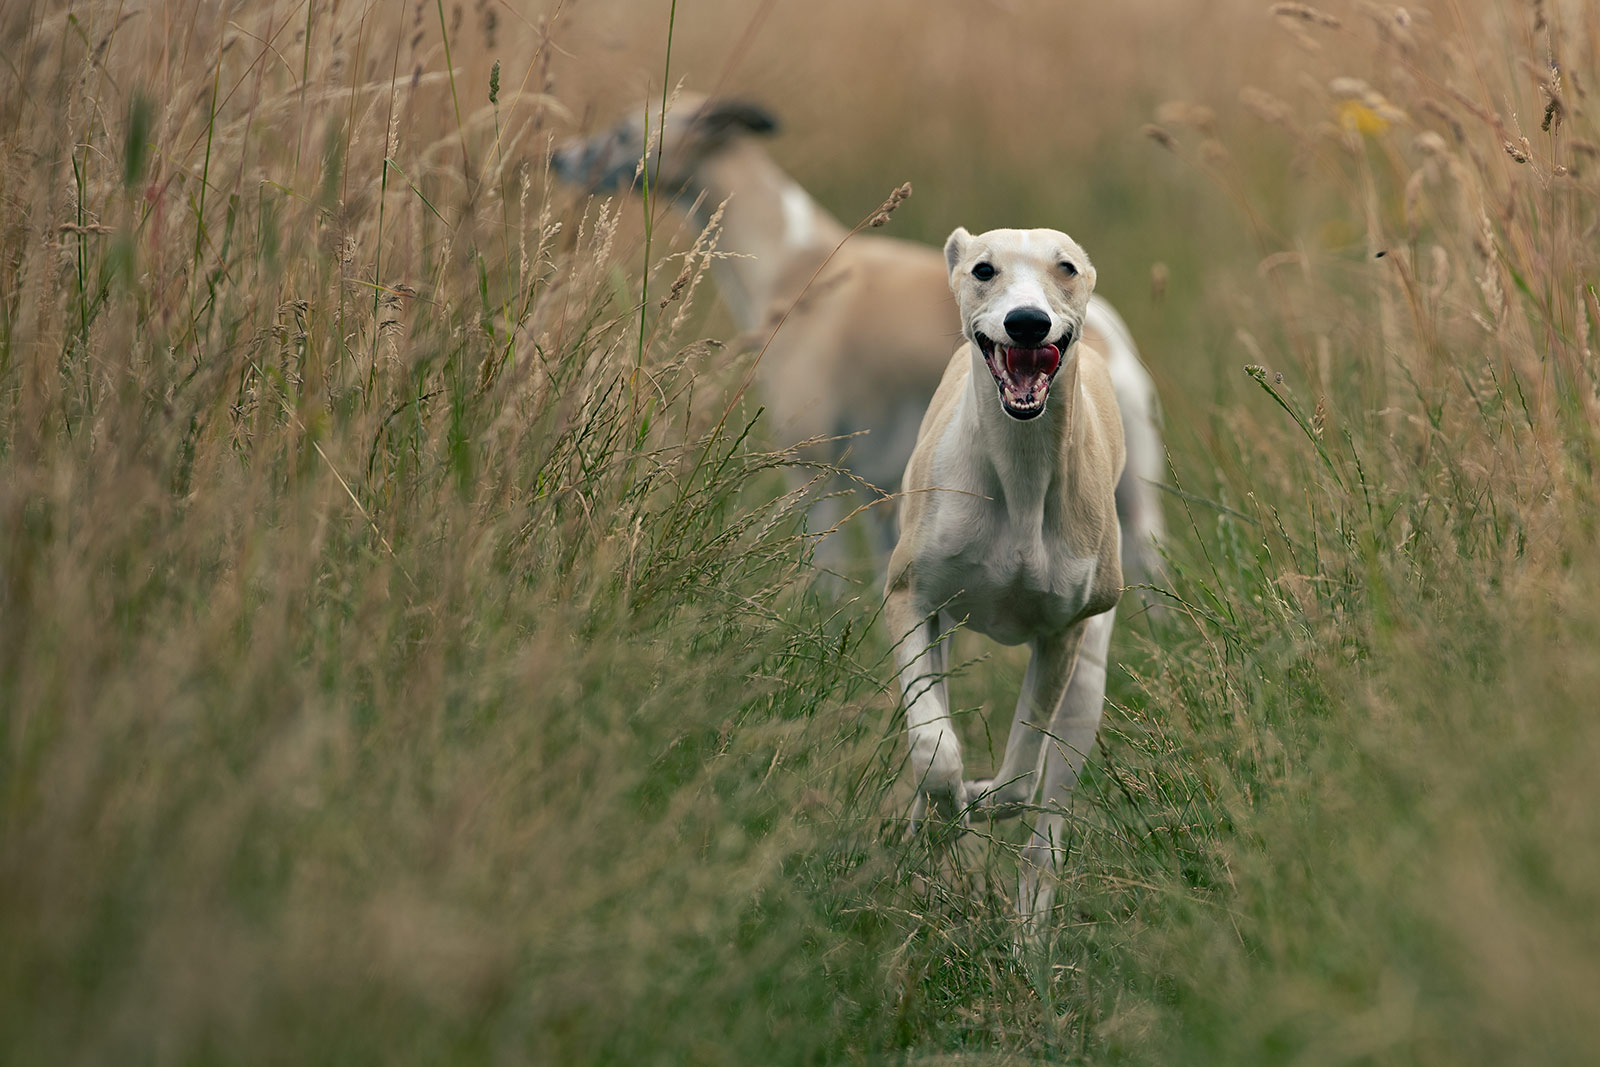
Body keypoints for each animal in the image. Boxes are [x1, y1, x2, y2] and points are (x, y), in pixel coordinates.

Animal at [550, 97, 1164, 585]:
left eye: (625, 130)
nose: (559, 156)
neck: (792, 260)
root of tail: (1108, 335)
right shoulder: (883, 494)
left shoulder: (814, 471)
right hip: (1129, 504)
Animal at [889, 227, 1126, 934]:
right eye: (983, 270)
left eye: (1066, 267)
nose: (1027, 322)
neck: (1020, 473)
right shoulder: (911, 599)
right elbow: (934, 749)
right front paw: (945, 812)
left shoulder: (1063, 636)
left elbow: (1021, 782)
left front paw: (977, 801)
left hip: (1088, 685)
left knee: (1046, 827)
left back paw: (1028, 942)